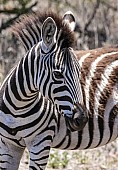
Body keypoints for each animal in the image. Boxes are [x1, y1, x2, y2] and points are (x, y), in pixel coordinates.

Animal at [0, 10, 117, 170]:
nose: (82, 119)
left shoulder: (41, 144)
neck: (18, 108)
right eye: (57, 74)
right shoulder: (7, 145)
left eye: (79, 72)